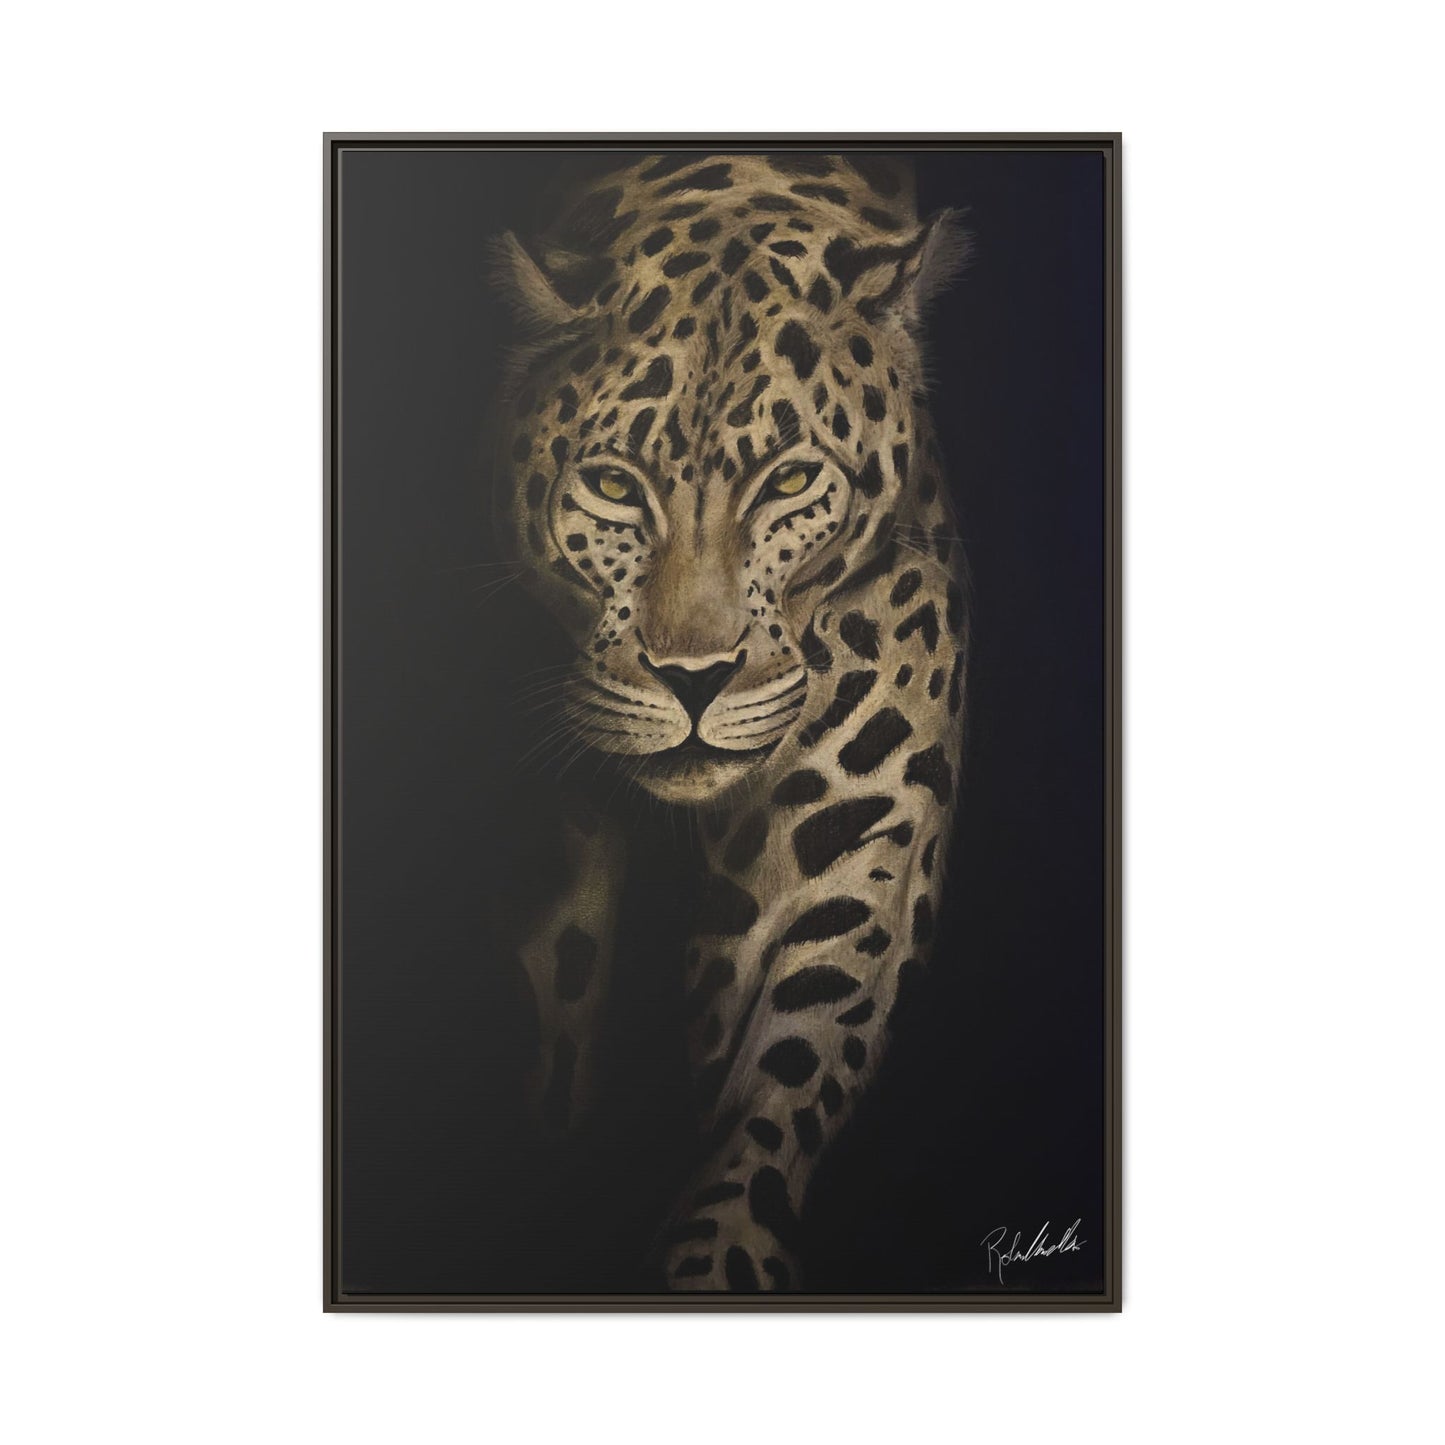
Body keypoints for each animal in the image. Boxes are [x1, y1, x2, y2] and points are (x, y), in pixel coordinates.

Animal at [491, 152, 970, 1292]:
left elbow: (783, 1078)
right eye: (612, 484)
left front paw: (716, 1259)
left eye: (790, 479)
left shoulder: (851, 845)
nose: (694, 680)